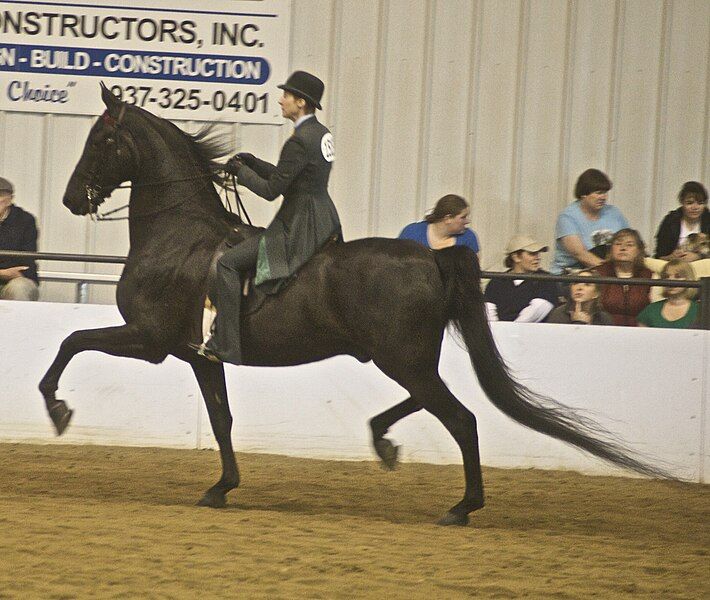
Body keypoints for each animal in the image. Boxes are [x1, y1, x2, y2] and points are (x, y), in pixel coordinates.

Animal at [39, 86, 672, 528]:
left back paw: (461, 507)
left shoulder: (150, 339)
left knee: (460, 418)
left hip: (401, 356)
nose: (71, 199)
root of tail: (430, 257)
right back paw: (385, 441)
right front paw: (221, 488)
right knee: (429, 402)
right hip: (404, 356)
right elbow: (220, 419)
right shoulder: (201, 355)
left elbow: (70, 343)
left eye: (101, 141)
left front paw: (58, 411)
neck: (177, 235)